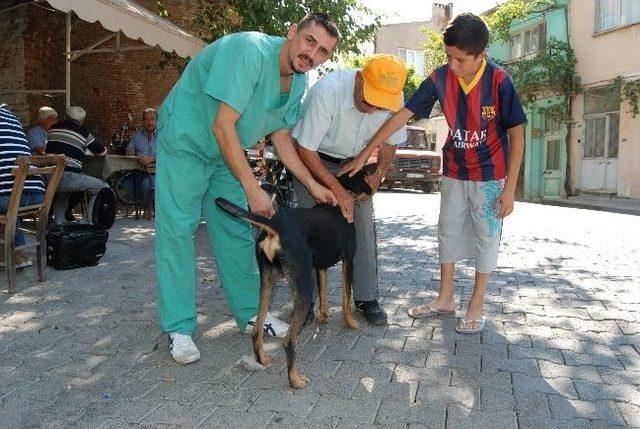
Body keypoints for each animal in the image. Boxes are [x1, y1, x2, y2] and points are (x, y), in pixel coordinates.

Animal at [216, 167, 376, 388]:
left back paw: (262, 359)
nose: (375, 167)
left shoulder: (320, 267)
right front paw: (350, 322)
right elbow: (345, 297)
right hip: (303, 285)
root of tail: (274, 226)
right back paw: (295, 379)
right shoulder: (348, 261)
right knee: (289, 341)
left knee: (257, 329)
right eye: (363, 170)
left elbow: (324, 295)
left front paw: (324, 316)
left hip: (268, 281)